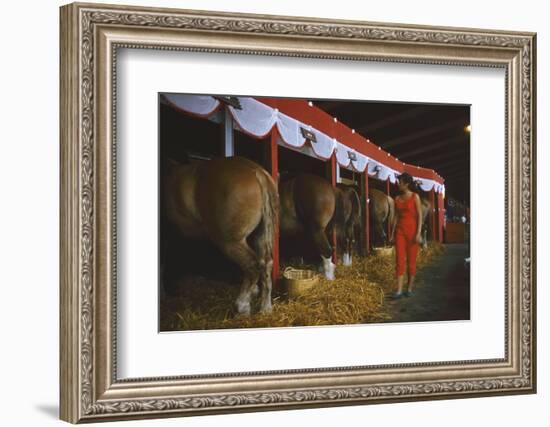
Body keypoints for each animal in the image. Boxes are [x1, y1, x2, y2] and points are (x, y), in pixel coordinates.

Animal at [162, 155, 278, 316]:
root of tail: (257, 171)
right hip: (259, 236)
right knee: (265, 263)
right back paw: (265, 308)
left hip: (229, 242)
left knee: (252, 266)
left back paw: (242, 306)